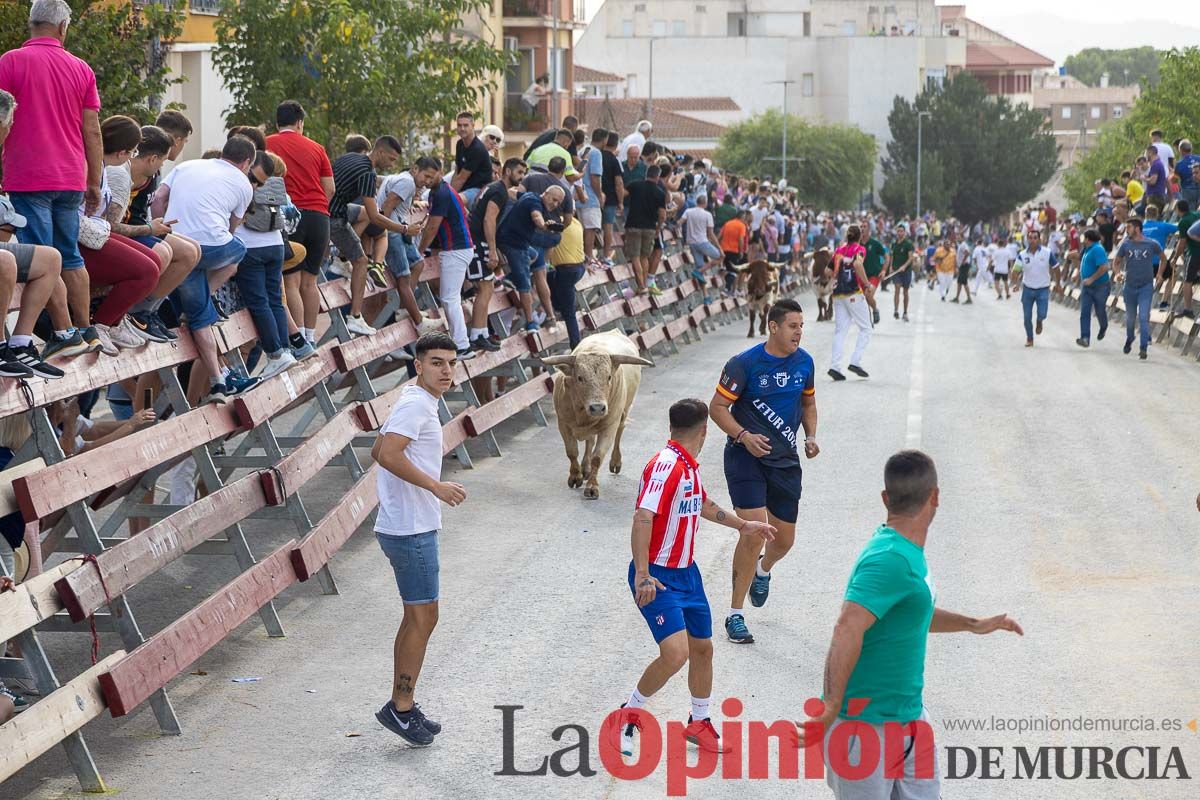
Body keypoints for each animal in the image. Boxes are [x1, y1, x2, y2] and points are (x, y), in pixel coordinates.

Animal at [547, 328, 657, 496]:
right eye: (580, 378)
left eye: (609, 377)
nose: (597, 407)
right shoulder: (563, 424)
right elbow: (572, 452)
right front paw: (575, 477)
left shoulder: (609, 426)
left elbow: (597, 457)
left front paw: (592, 486)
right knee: (590, 441)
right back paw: (585, 469)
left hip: (623, 412)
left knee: (619, 431)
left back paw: (615, 462)